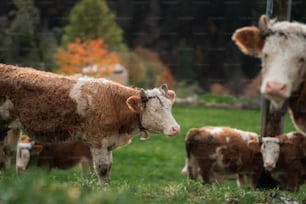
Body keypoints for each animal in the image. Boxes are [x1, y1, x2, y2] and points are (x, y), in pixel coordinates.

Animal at [0, 64, 180, 184]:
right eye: (155, 110)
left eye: (169, 107)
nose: (176, 128)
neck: (113, 104)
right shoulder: (98, 142)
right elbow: (101, 169)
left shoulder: (108, 144)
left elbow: (108, 169)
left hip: (13, 127)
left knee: (9, 152)